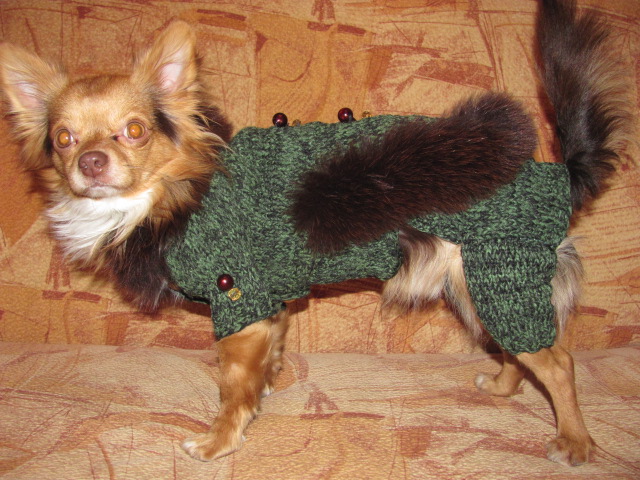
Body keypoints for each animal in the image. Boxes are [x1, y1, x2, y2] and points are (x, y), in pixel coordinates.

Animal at [0, 0, 630, 467]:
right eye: (63, 139)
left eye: (133, 131)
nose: (92, 163)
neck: (172, 196)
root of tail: (556, 172)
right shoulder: (266, 304)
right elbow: (266, 361)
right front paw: (268, 389)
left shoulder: (240, 299)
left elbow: (231, 388)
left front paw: (218, 441)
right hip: (480, 282)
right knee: (519, 350)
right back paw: (502, 388)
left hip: (499, 275)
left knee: (558, 362)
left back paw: (575, 442)